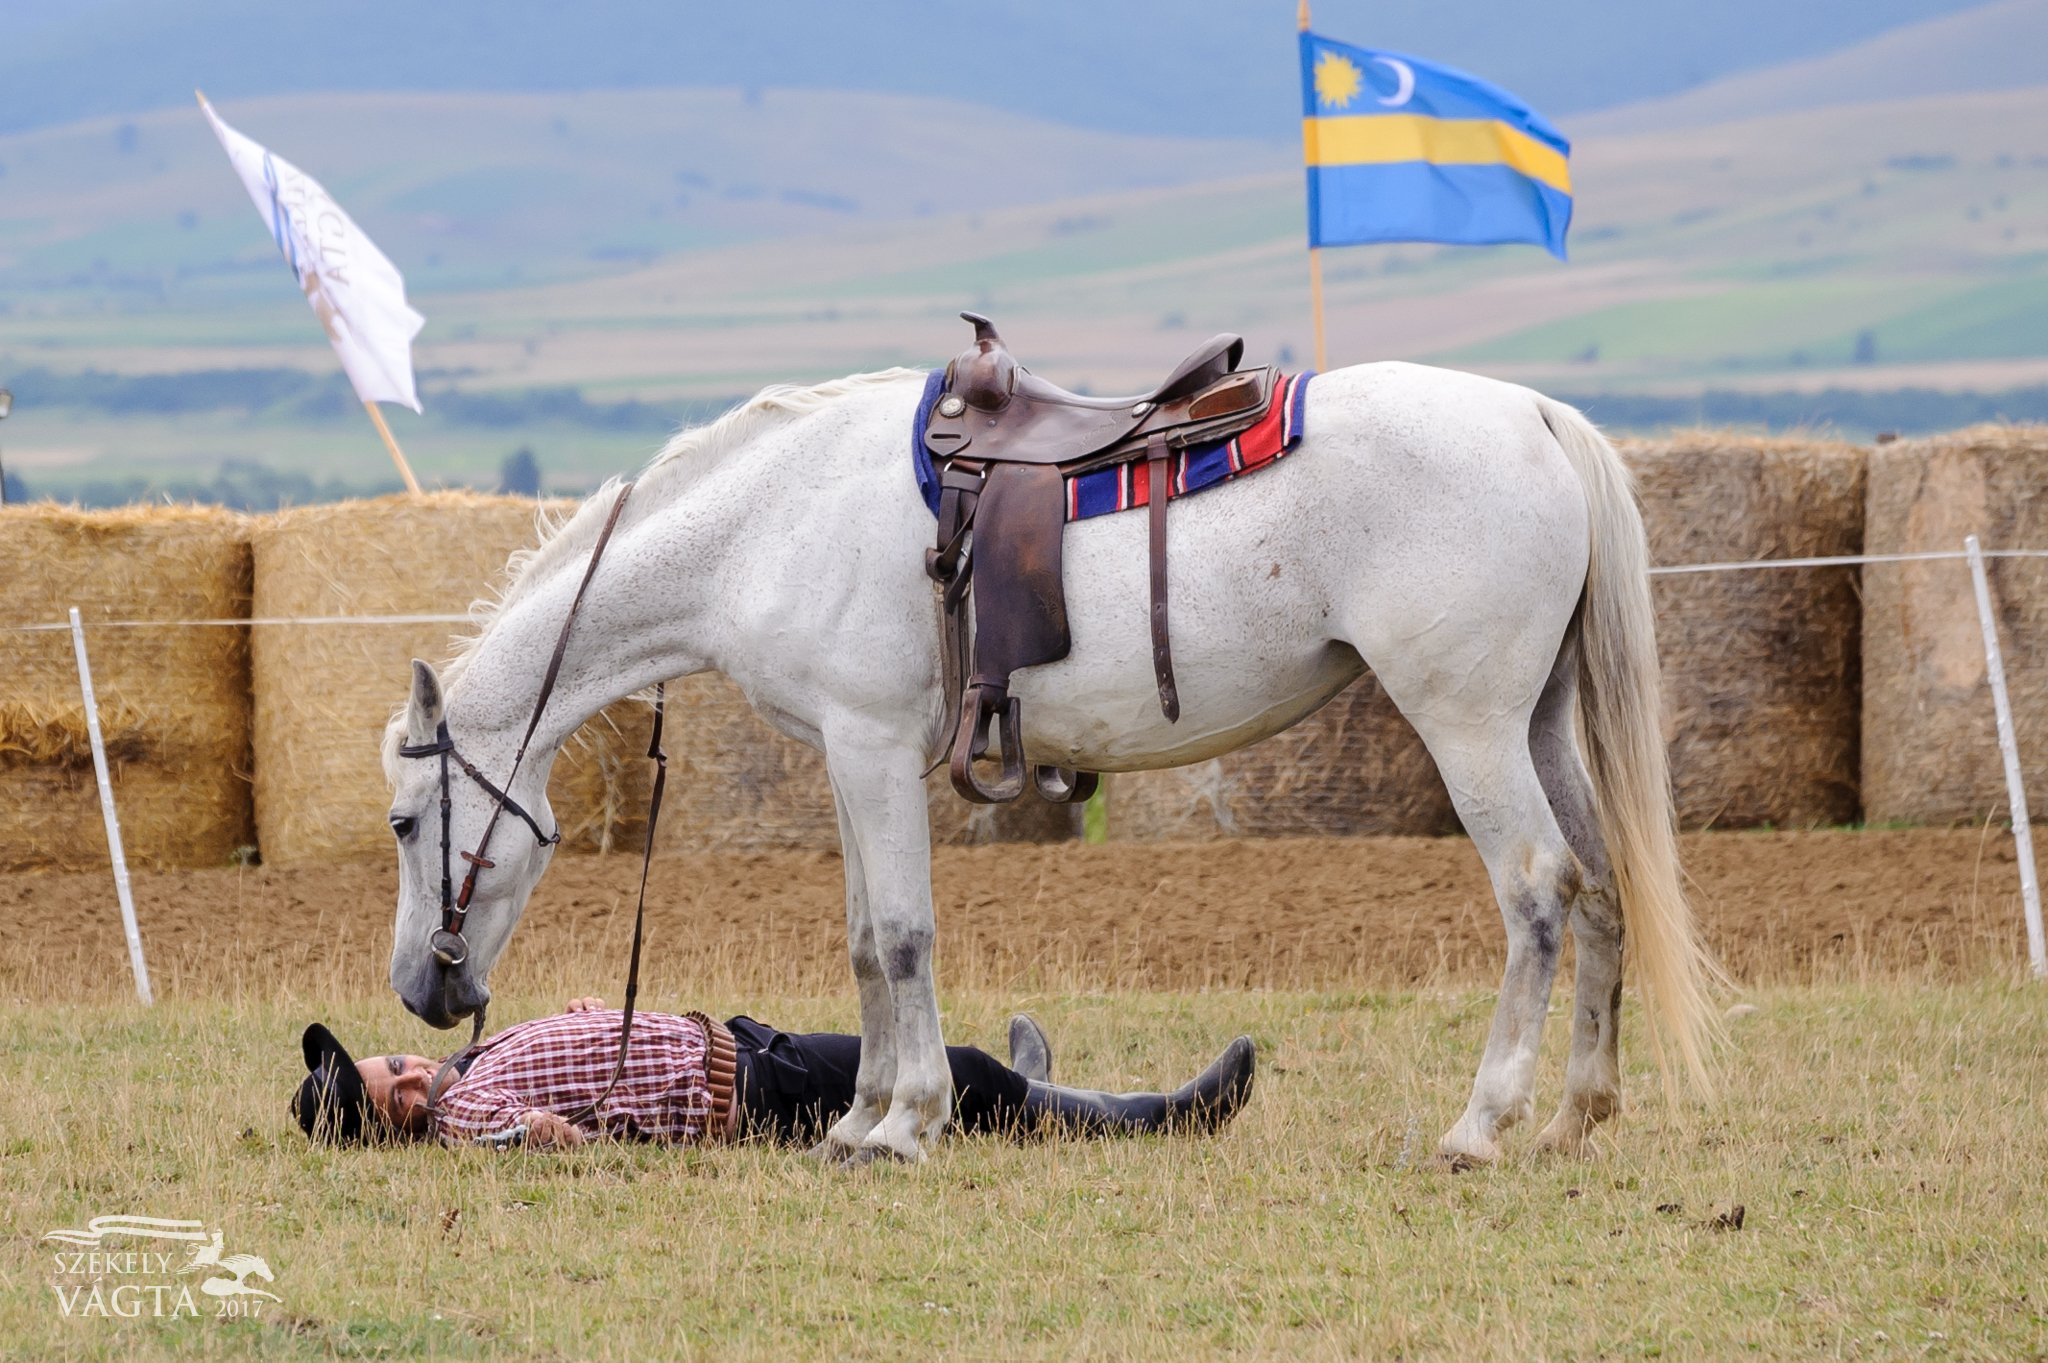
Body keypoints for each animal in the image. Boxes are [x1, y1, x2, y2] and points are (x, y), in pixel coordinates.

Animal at [380, 358, 1712, 1154]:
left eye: (401, 822)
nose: (419, 991)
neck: (769, 520)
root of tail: (1535, 414)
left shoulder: (872, 747)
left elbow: (902, 935)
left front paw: (905, 1123)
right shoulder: (845, 755)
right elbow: (862, 939)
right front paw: (857, 1121)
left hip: (1468, 723)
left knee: (1535, 890)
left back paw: (1482, 1124)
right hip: (1537, 720)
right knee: (1600, 887)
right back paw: (1575, 1115)